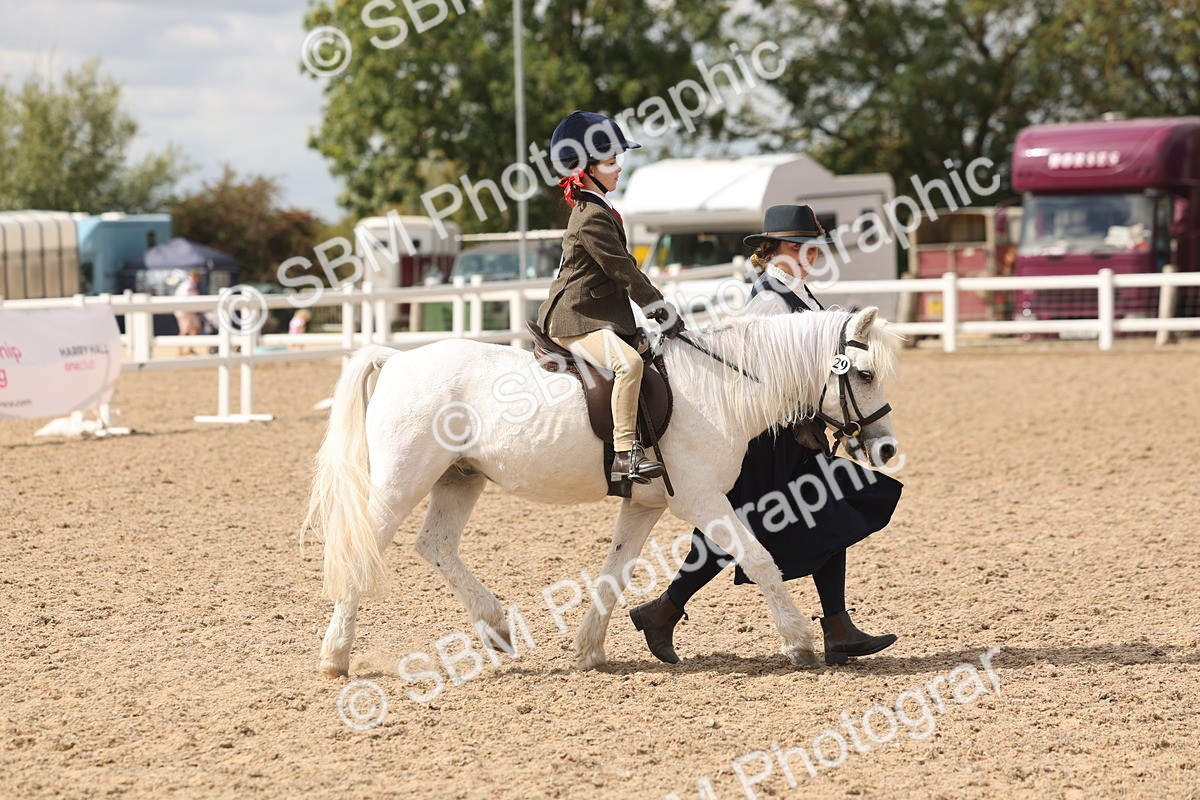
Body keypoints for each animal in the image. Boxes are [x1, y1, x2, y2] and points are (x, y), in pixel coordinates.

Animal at [303, 306, 899, 677]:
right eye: (865, 373)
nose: (888, 449)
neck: (721, 386)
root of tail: (398, 358)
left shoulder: (647, 505)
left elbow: (615, 574)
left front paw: (589, 649)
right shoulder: (702, 500)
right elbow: (760, 558)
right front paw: (798, 642)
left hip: (459, 479)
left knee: (435, 545)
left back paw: (495, 626)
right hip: (402, 481)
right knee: (365, 550)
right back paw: (335, 658)